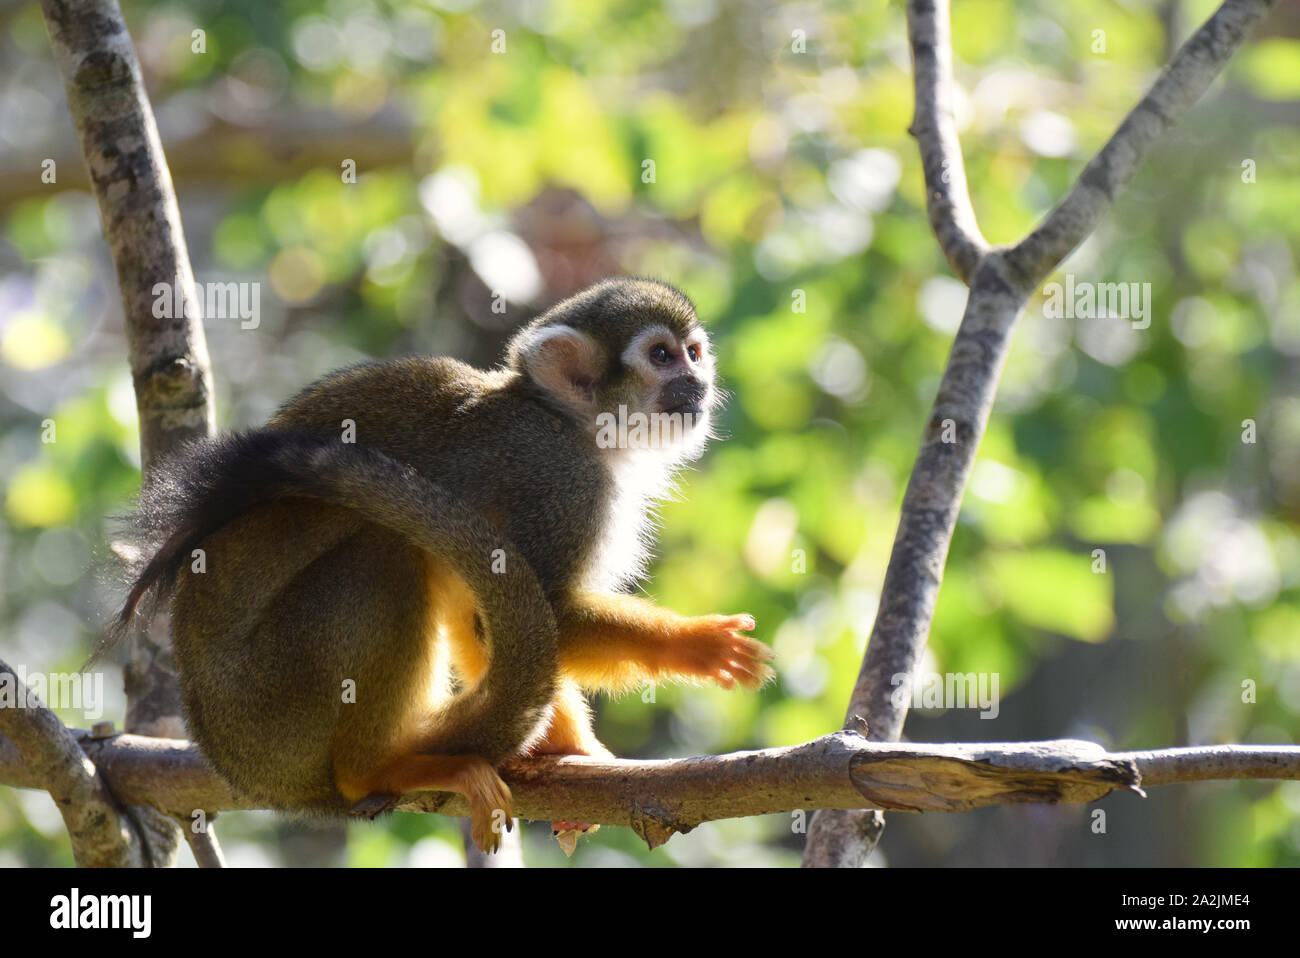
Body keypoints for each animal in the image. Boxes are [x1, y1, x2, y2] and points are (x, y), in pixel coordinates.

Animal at [104, 276, 769, 852]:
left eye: (693, 353)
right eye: (661, 356)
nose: (697, 383)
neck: (569, 424)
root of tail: (242, 766)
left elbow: (476, 619)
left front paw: (563, 751)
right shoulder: (559, 485)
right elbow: (536, 612)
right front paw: (694, 646)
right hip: (275, 703)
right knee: (383, 557)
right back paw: (379, 769)